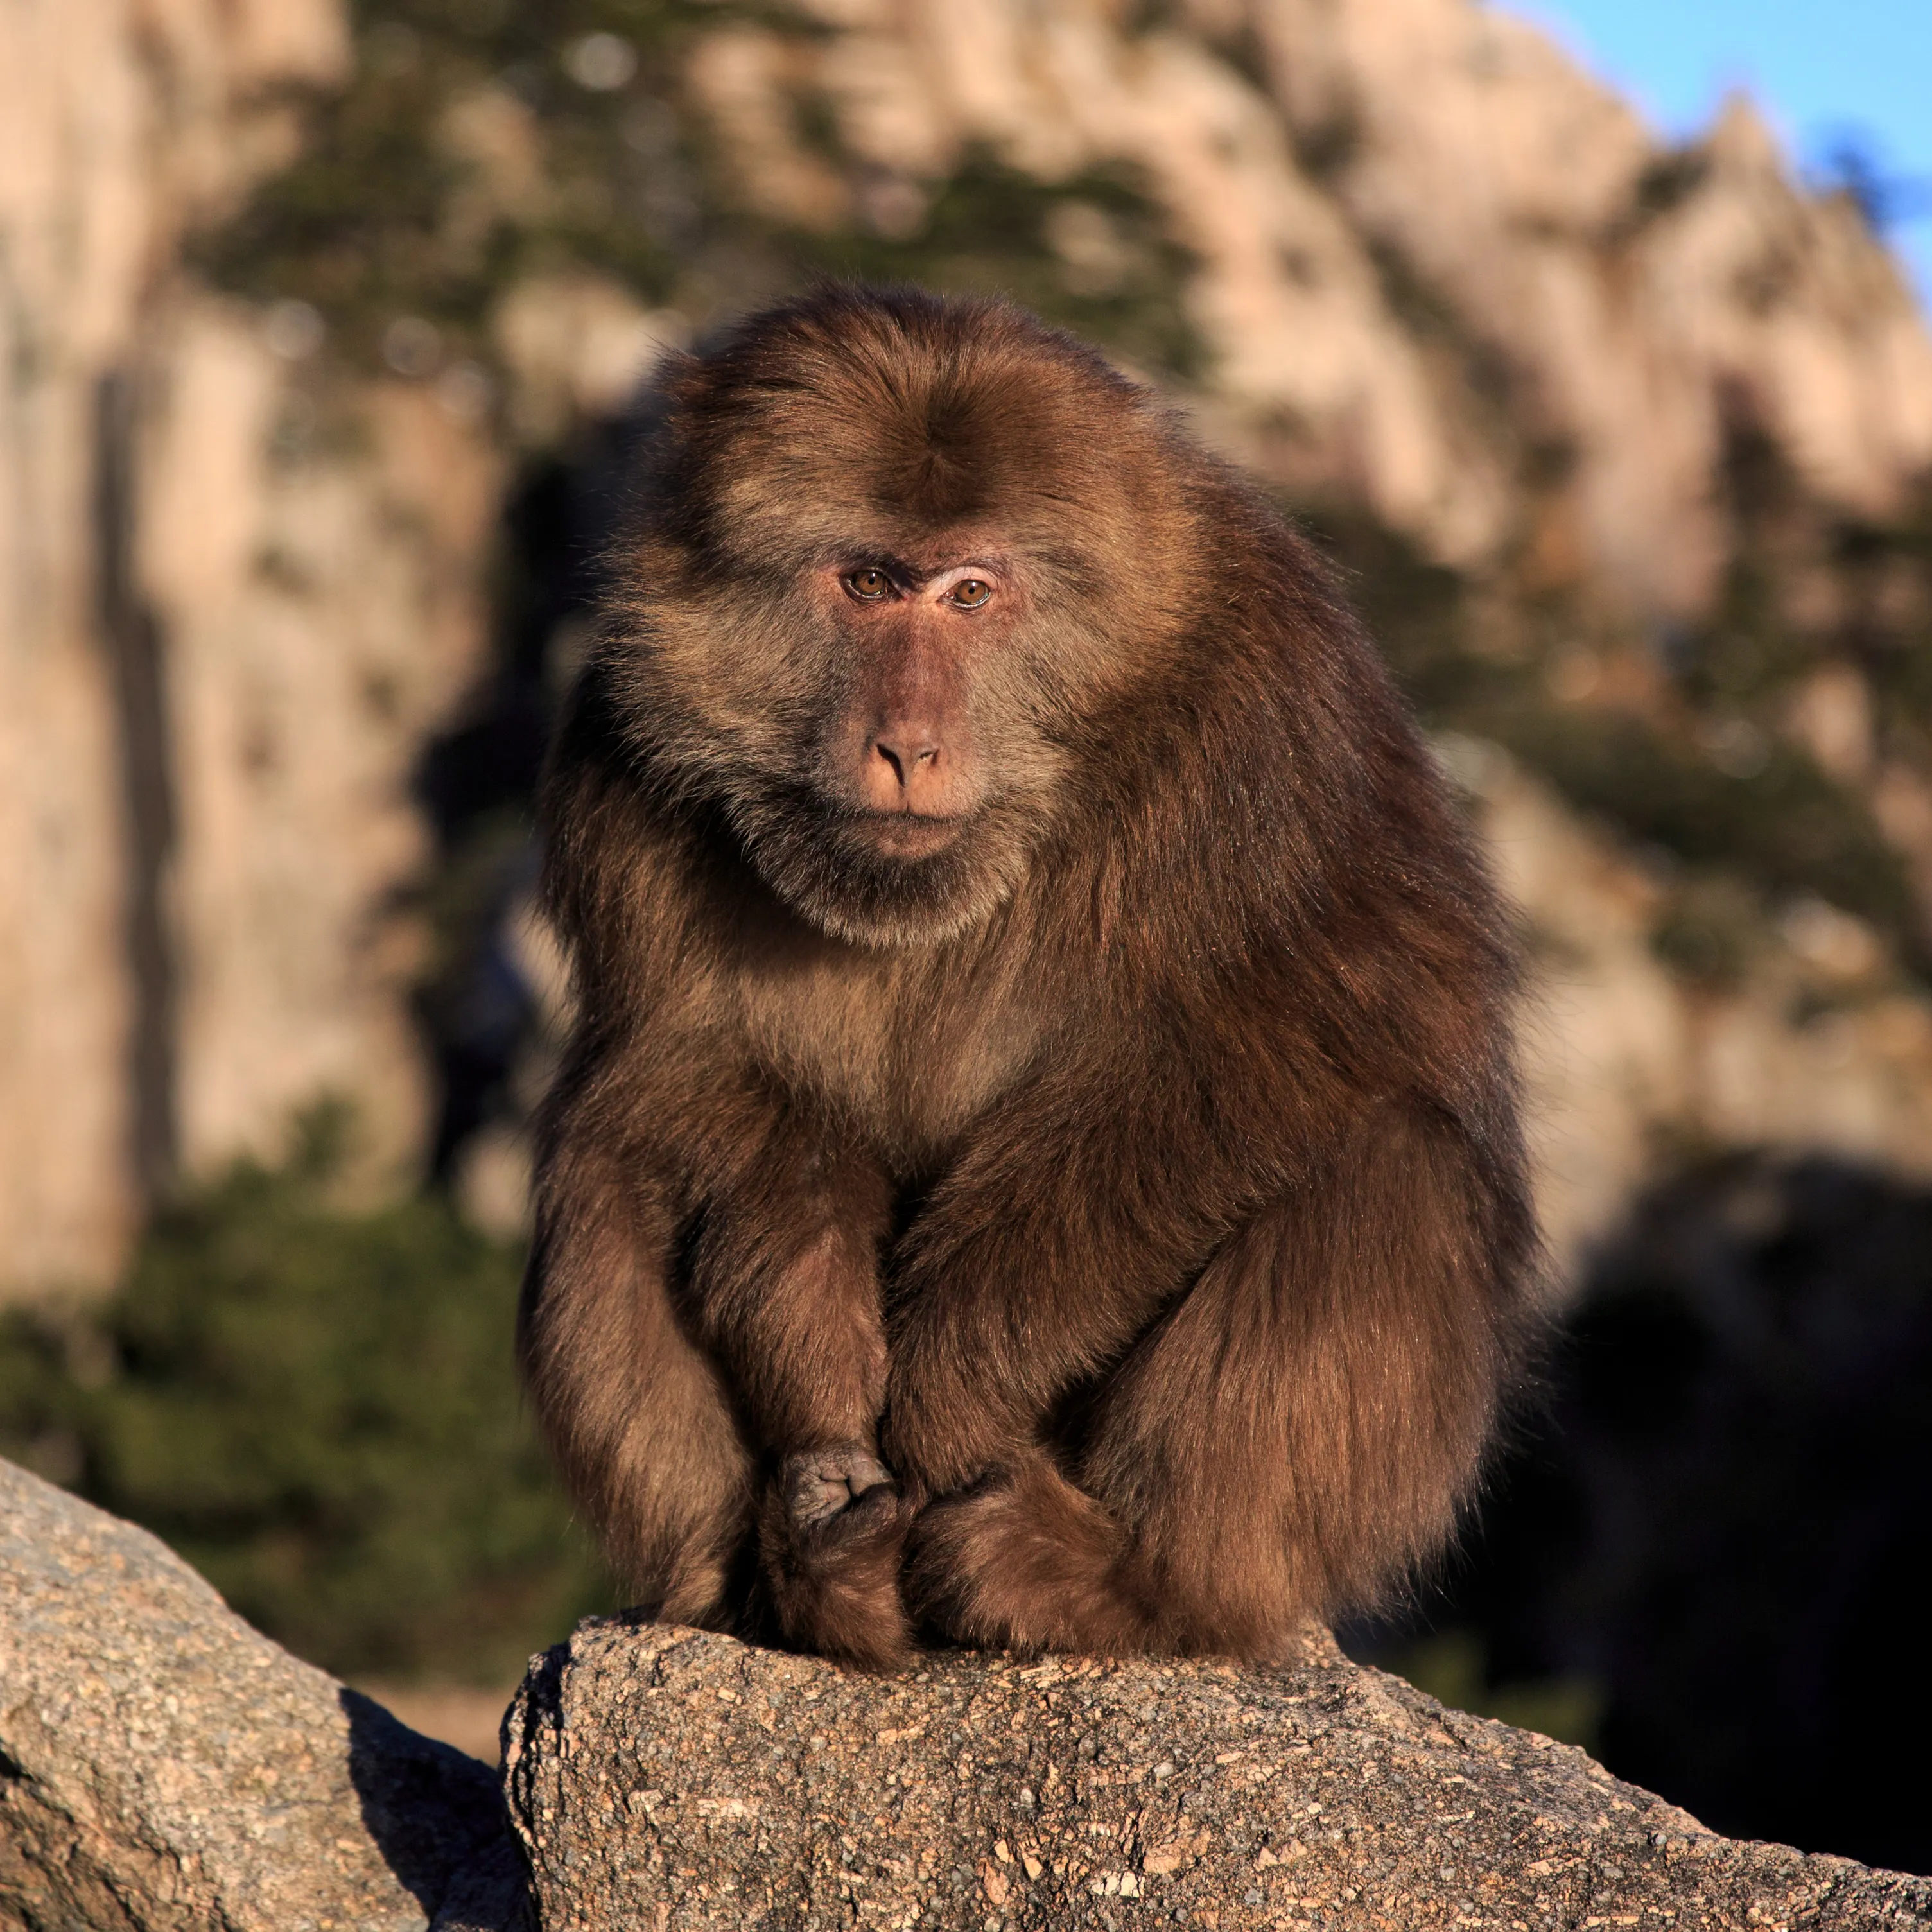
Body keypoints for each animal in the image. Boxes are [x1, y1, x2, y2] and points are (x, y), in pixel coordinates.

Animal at [519, 284, 1540, 1672]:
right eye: (868, 580)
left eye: (968, 591)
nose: (906, 743)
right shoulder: (620, 755)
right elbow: (690, 1064)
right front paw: (822, 1341)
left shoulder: (1266, 729)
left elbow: (1274, 1050)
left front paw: (949, 1385)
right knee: (604, 1149)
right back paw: (796, 1573)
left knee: (1390, 1161)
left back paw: (1120, 1580)